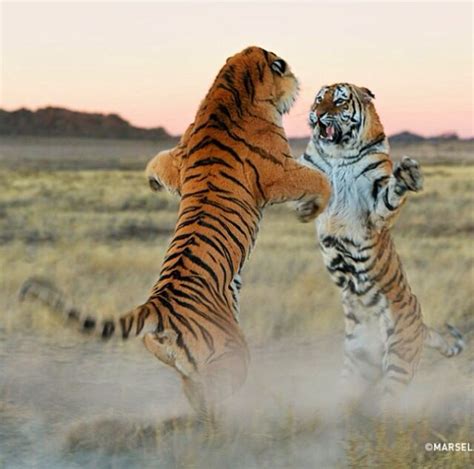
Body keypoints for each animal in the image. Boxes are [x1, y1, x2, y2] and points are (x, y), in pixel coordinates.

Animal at [19, 46, 330, 420]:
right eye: (285, 68)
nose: (299, 84)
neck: (230, 86)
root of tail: (157, 307)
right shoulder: (280, 171)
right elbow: (319, 180)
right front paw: (309, 211)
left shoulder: (177, 159)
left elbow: (156, 161)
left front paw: (153, 184)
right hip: (235, 355)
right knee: (212, 401)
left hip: (180, 363)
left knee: (194, 392)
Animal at [296, 84, 462, 410]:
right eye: (319, 99)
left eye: (339, 101)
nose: (319, 115)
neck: (338, 154)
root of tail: (421, 323)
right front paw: (306, 208)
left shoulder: (376, 205)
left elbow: (391, 193)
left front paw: (408, 174)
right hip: (356, 367)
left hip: (399, 360)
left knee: (388, 405)